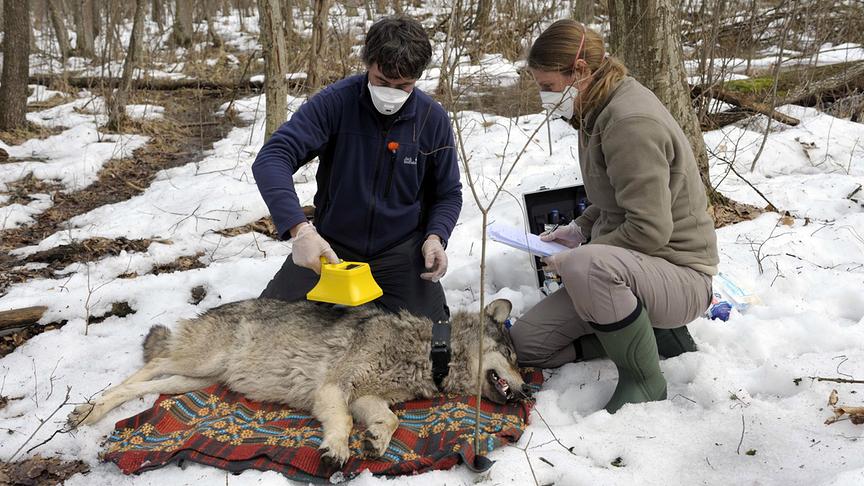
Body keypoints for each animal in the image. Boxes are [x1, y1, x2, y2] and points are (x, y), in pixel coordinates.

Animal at [67, 298, 530, 465]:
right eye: (512, 358)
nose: (527, 390)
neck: (429, 351)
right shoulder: (334, 390)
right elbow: (342, 423)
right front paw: (338, 449)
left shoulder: (364, 397)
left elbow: (391, 420)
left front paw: (376, 441)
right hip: (198, 361)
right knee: (149, 367)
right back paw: (86, 410)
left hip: (194, 380)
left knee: (145, 386)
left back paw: (92, 411)